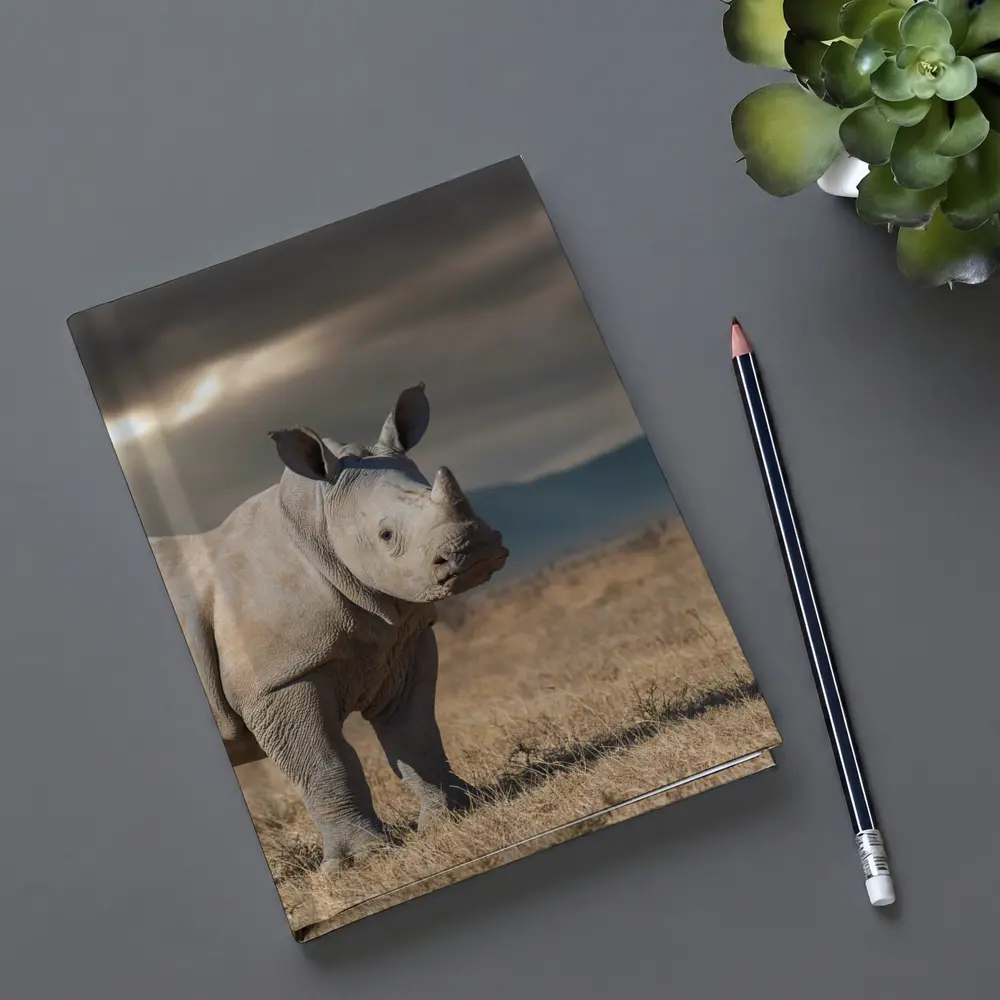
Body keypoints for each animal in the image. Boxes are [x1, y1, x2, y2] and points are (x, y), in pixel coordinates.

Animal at [150, 384, 508, 869]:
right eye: (386, 536)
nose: (474, 551)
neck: (320, 528)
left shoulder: (400, 643)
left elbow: (415, 733)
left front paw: (455, 816)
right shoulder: (278, 680)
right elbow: (325, 762)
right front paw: (363, 861)